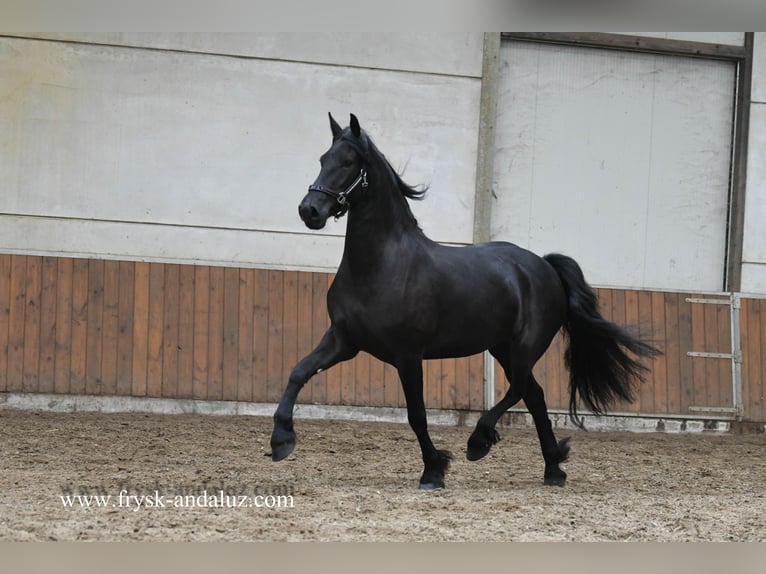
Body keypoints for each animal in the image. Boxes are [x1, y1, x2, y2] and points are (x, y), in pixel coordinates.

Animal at [270, 113, 660, 489]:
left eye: (348, 162)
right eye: (323, 159)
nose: (309, 210)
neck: (382, 265)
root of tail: (543, 265)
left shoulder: (407, 355)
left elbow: (417, 414)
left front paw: (434, 471)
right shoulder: (344, 340)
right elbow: (298, 372)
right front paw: (281, 440)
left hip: (525, 346)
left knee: (521, 388)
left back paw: (480, 441)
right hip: (502, 348)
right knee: (533, 394)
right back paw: (552, 469)